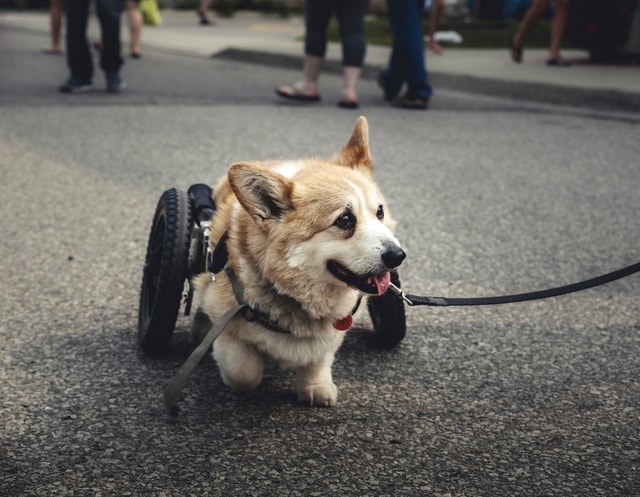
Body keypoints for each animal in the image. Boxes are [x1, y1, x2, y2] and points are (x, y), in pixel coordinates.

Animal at [192, 117, 404, 406]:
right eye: (345, 220)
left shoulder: (334, 329)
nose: (399, 256)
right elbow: (244, 372)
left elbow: (319, 358)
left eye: (379, 212)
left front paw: (315, 387)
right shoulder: (224, 321)